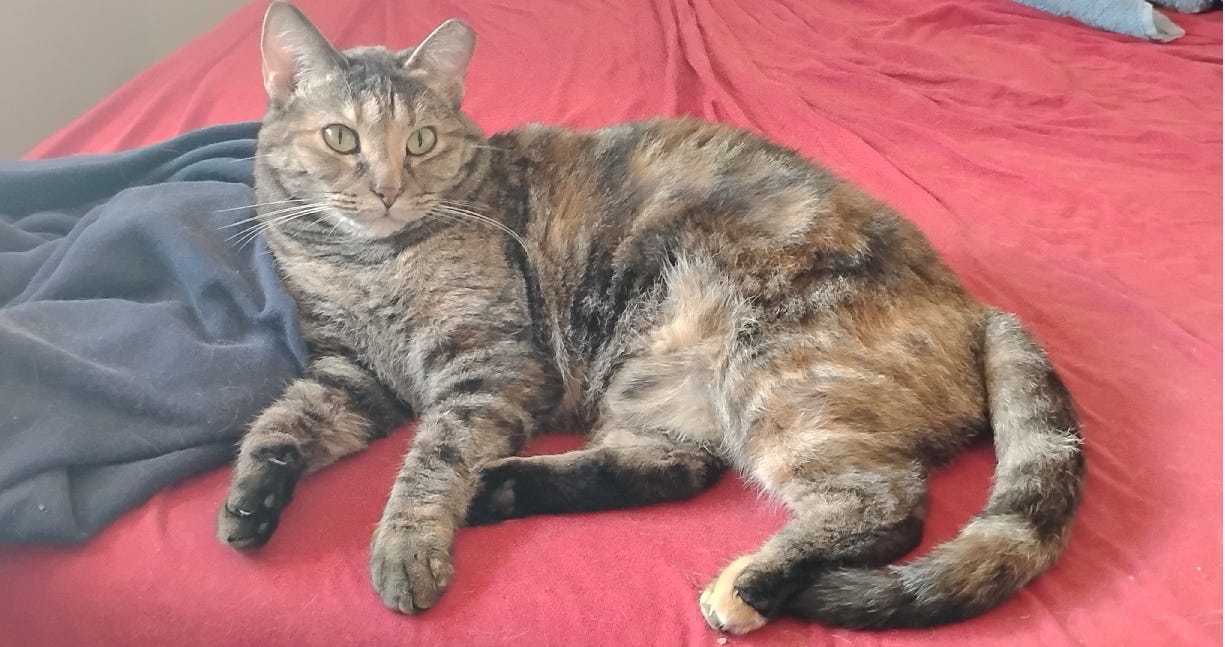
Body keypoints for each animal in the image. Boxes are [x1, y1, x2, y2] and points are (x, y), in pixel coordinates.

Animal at [217, 1, 1085, 634]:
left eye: (422, 140)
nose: (388, 187)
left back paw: (749, 583)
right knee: (677, 467)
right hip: (651, 381)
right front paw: (251, 500)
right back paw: (502, 487)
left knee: (886, 503)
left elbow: (430, 458)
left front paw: (405, 547)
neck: (368, 265)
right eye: (340, 138)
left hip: (776, 374)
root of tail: (973, 306)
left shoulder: (490, 365)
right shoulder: (351, 370)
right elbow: (282, 419)